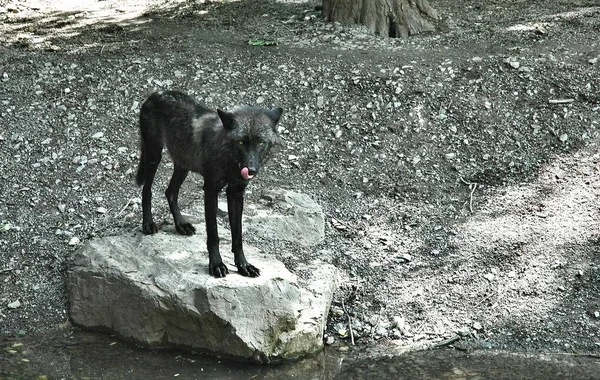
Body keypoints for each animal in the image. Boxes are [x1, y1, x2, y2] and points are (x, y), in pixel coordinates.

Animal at [136, 90, 284, 278]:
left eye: (260, 142)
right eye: (241, 142)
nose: (250, 169)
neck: (229, 160)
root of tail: (155, 94)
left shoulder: (236, 193)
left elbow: (238, 235)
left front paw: (243, 265)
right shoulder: (211, 190)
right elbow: (213, 234)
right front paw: (216, 265)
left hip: (183, 165)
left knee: (170, 192)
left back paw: (181, 225)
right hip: (154, 156)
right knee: (147, 190)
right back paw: (148, 224)